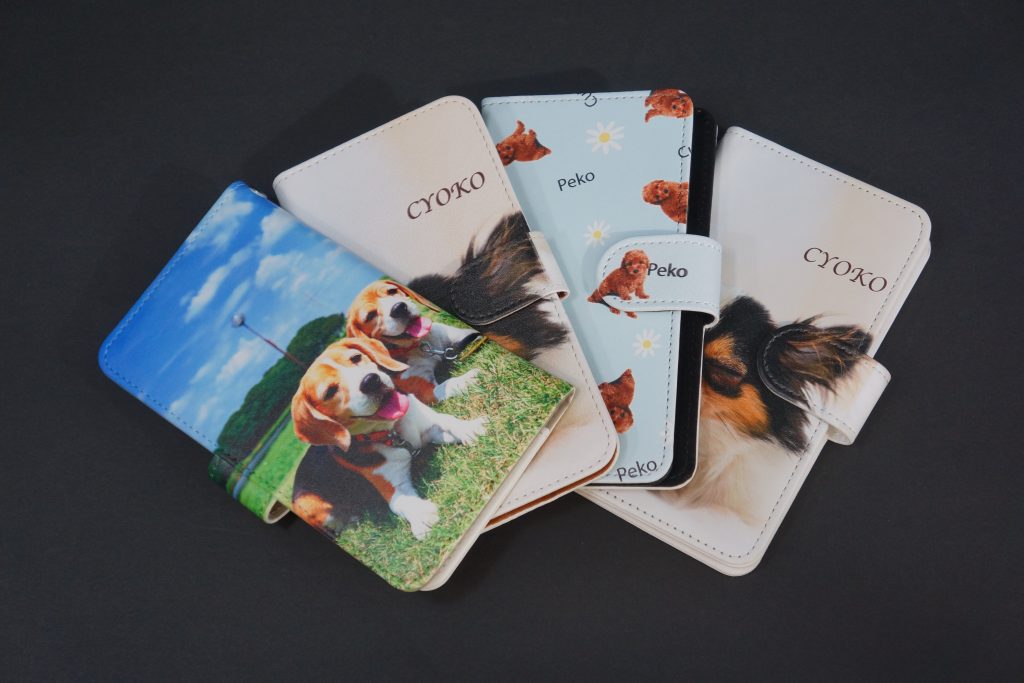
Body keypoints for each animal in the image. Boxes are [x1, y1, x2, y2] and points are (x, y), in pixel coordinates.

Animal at [290, 337, 487, 540]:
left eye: (356, 357)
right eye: (330, 392)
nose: (370, 381)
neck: (391, 432)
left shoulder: (428, 424)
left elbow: (448, 421)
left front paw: (470, 428)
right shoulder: (391, 483)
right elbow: (399, 501)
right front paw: (422, 516)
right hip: (310, 505)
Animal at [346, 279, 482, 405]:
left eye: (392, 291)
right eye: (370, 315)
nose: (399, 308)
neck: (420, 345)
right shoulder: (427, 392)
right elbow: (448, 383)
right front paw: (470, 376)